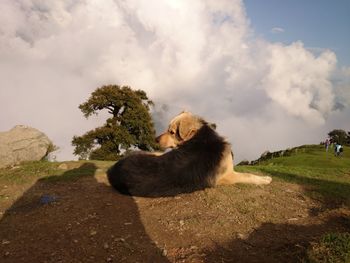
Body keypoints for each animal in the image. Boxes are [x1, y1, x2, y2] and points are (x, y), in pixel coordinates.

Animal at [108, 112, 272, 197]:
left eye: (171, 132)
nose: (155, 139)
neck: (199, 137)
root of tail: (112, 171)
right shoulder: (226, 175)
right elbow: (248, 175)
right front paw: (265, 179)